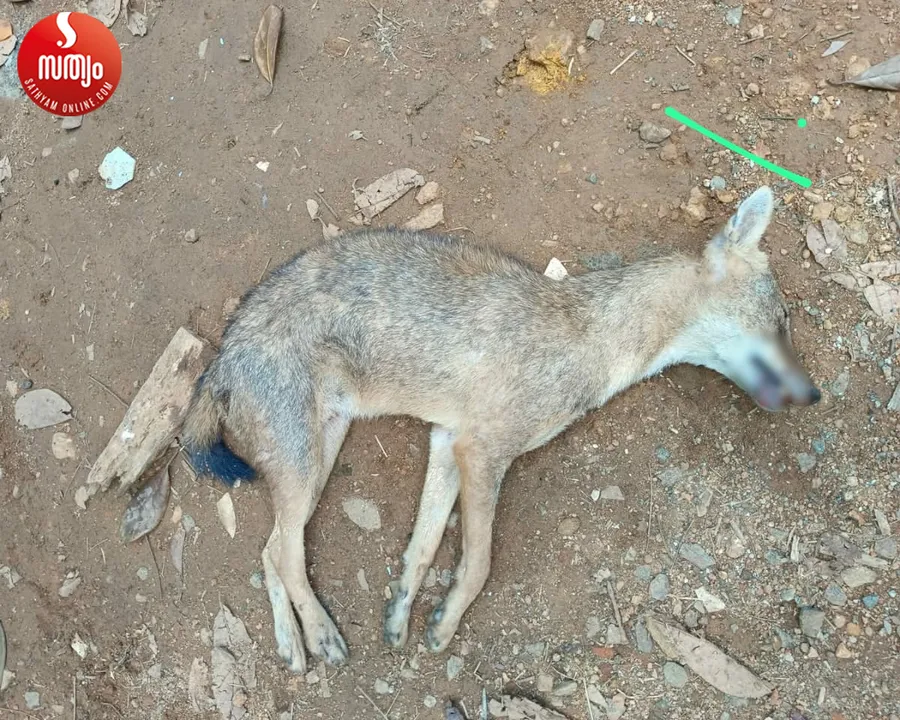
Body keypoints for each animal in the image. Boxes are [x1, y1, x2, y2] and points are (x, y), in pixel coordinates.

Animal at [181, 185, 820, 673]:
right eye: (783, 324)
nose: (814, 394)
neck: (591, 335)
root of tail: (224, 352)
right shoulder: (482, 450)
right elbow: (480, 562)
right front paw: (445, 624)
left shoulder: (447, 440)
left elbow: (422, 549)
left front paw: (402, 616)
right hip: (306, 463)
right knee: (285, 555)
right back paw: (318, 635)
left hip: (318, 457)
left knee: (270, 551)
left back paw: (292, 644)